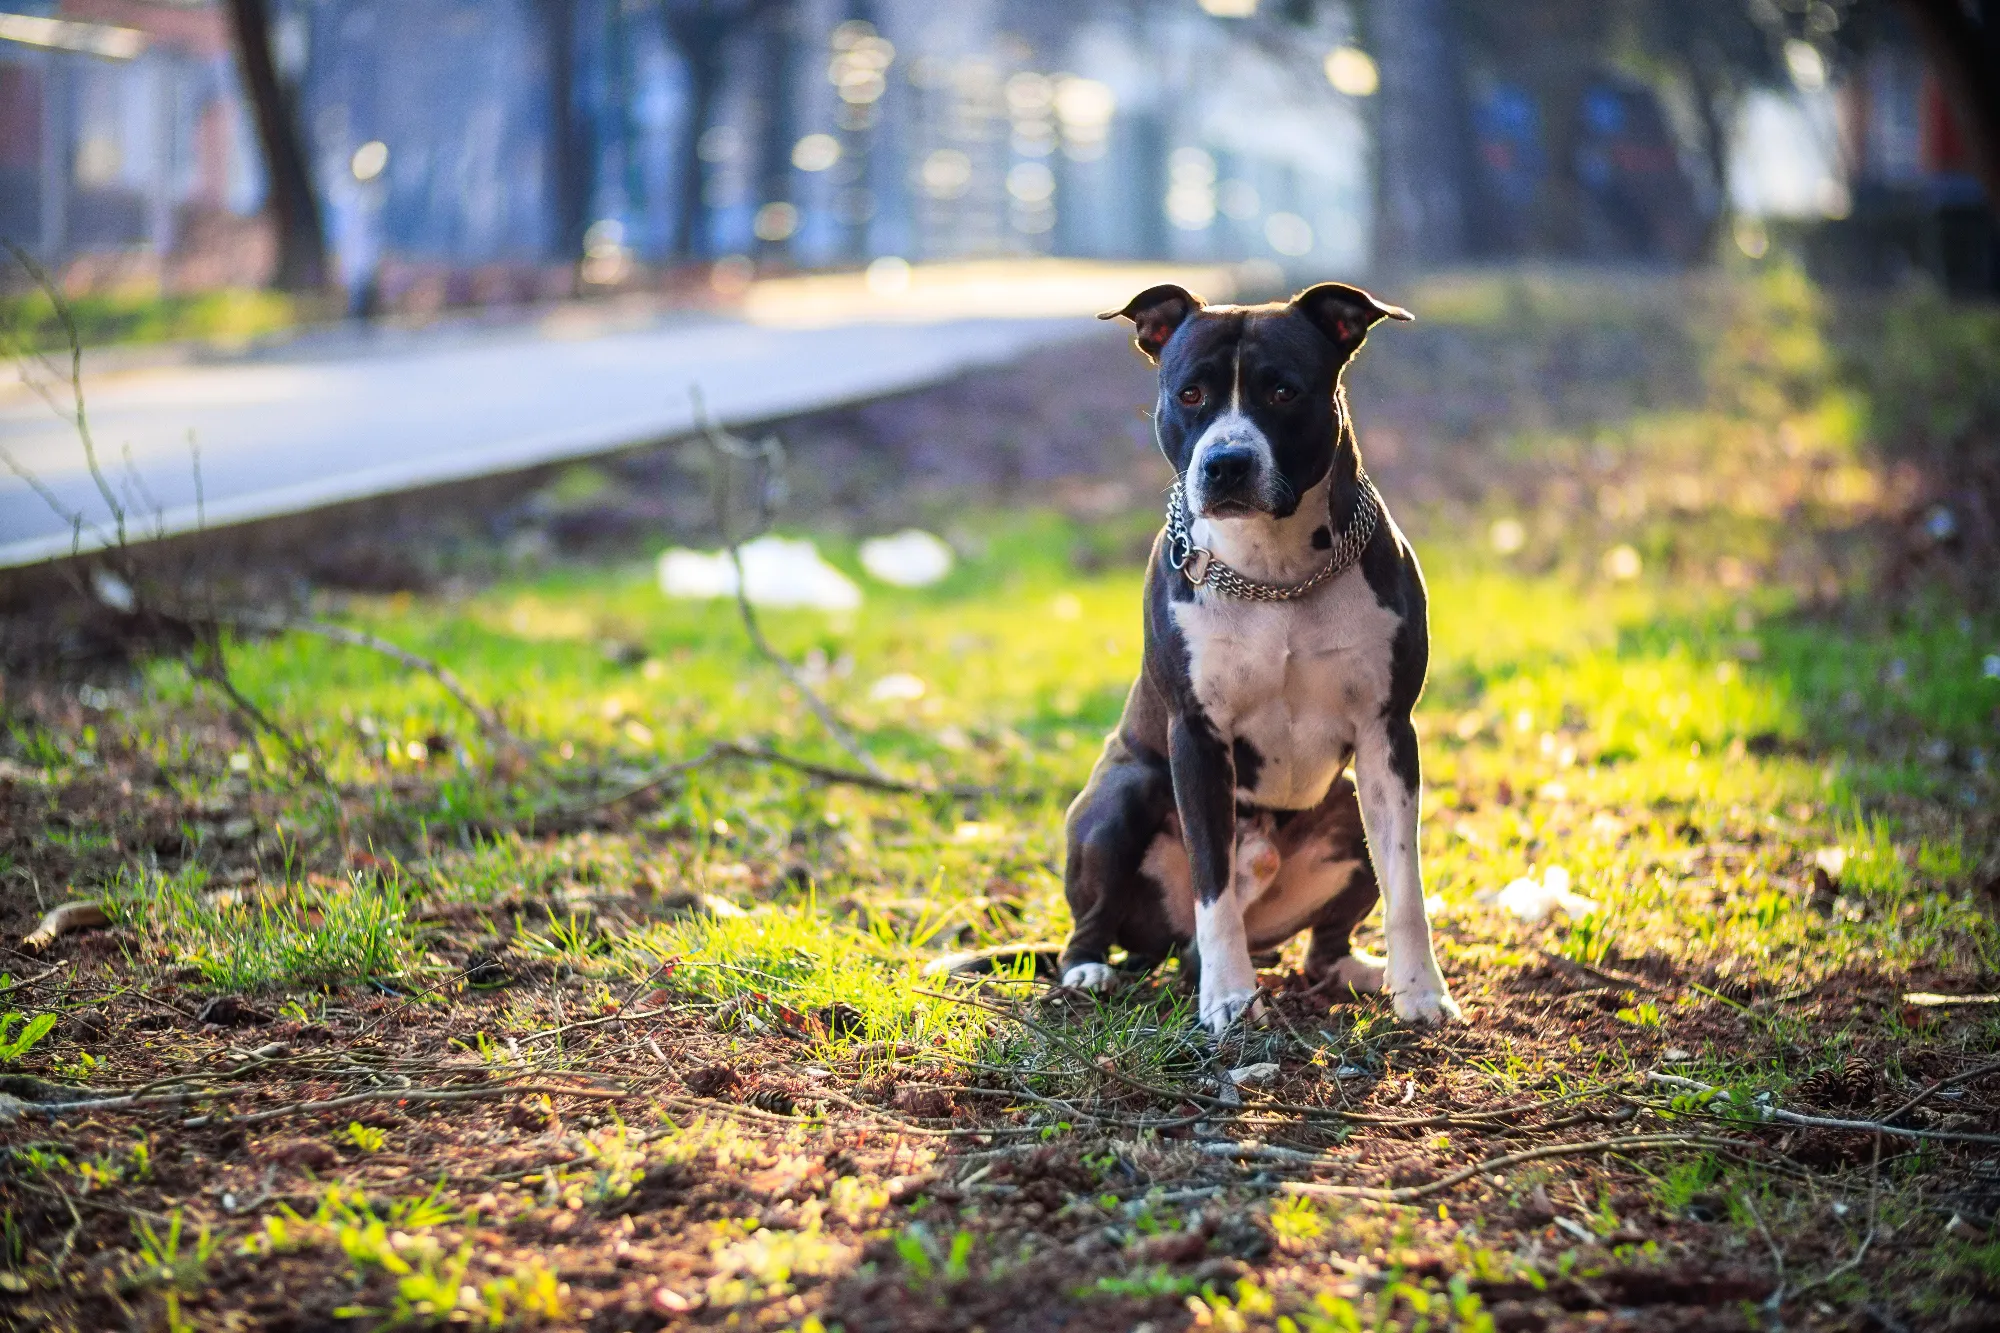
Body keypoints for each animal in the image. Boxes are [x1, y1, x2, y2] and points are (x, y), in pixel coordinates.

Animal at [1056, 278, 1464, 1024]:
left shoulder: (1388, 734)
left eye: (1283, 391)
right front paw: (1228, 998)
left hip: (1346, 807)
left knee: (1322, 943)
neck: (1274, 574)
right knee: (1109, 919)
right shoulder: (1196, 738)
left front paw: (1421, 990)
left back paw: (1358, 972)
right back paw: (1091, 969)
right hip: (1122, 794)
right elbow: (1213, 886)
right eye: (1190, 393)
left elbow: (1407, 883)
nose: (1227, 462)